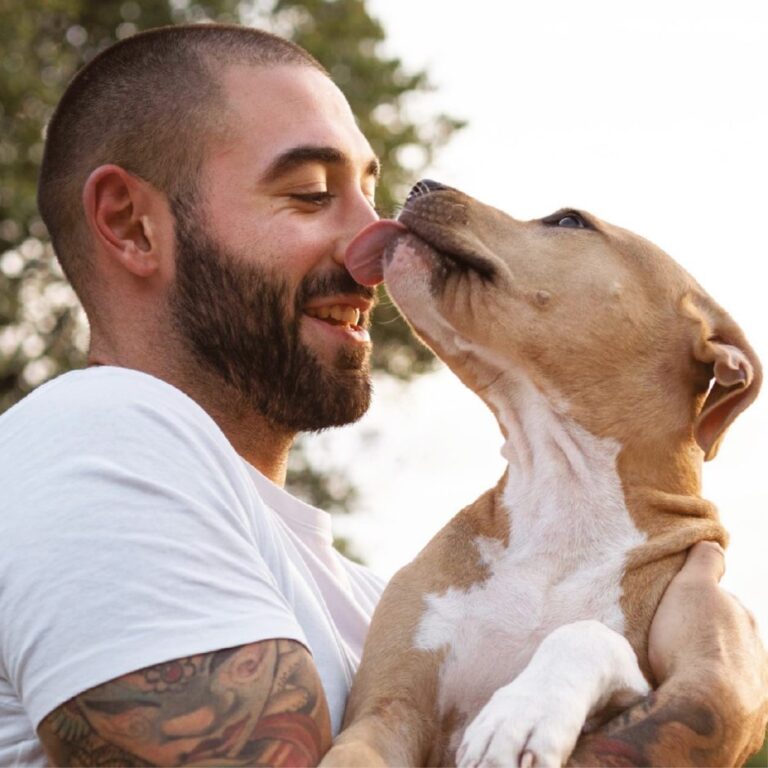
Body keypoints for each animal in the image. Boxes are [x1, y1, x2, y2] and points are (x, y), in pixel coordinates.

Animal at [326, 182, 760, 768]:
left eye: (569, 221)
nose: (420, 186)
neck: (563, 490)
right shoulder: (386, 711)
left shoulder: (650, 682)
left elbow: (588, 633)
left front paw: (522, 714)